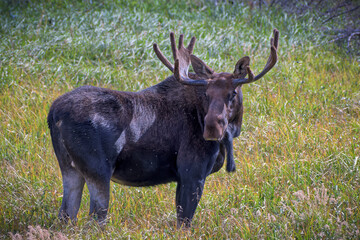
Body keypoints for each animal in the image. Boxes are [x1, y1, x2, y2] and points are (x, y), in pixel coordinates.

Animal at [47, 28, 278, 227]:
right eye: (207, 93)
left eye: (233, 93)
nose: (212, 128)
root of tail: (54, 114)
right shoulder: (192, 171)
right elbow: (184, 223)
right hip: (98, 169)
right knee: (95, 220)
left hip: (70, 168)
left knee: (65, 216)